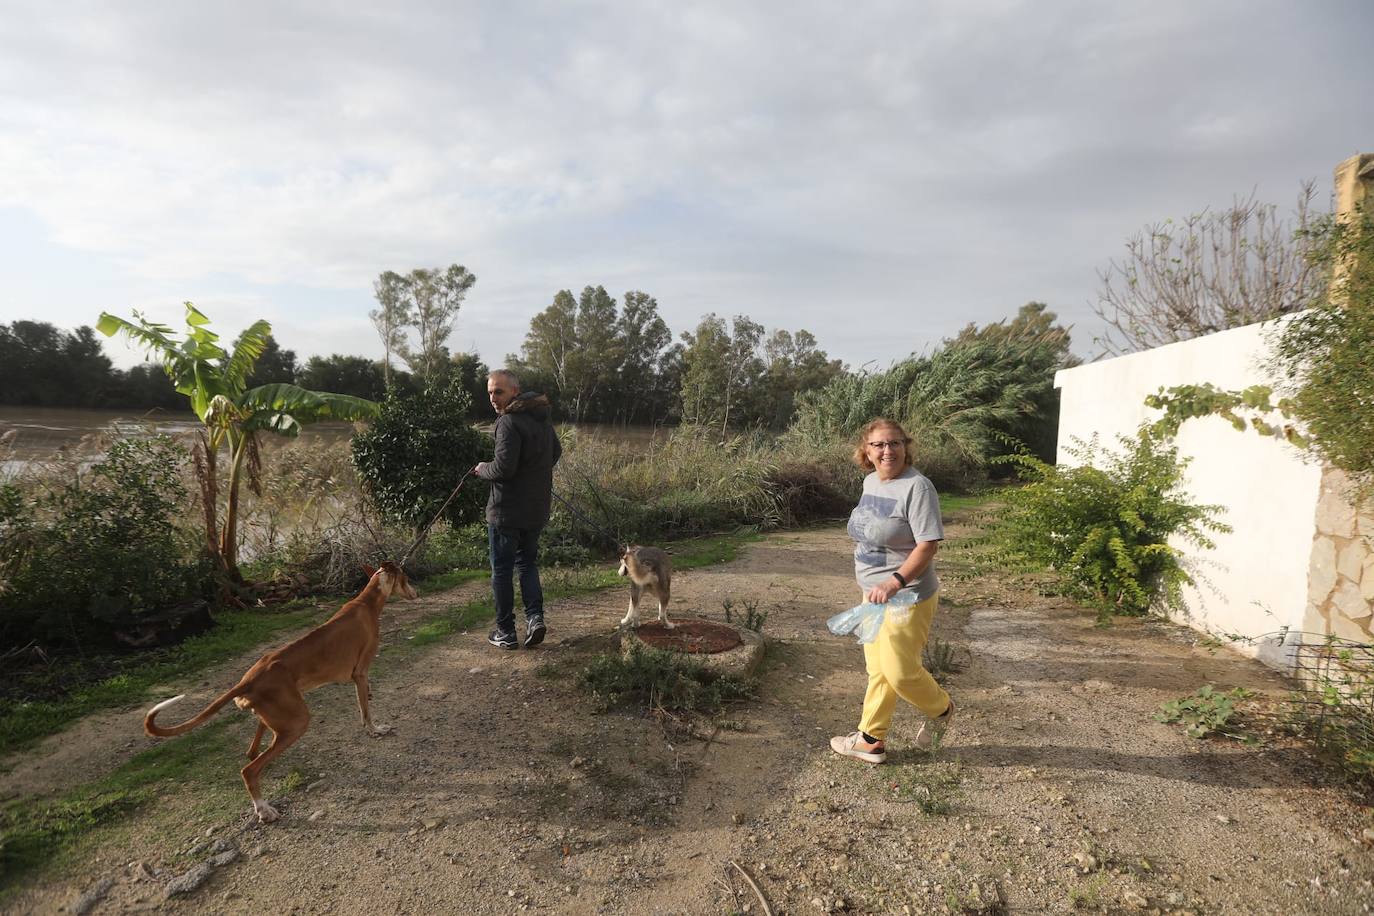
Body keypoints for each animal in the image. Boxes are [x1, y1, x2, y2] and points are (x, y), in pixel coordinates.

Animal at [143, 560, 417, 823]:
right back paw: (264, 810)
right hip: (297, 721)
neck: (368, 600)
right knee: (249, 770)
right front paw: (375, 730)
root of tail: (248, 680)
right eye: (406, 577)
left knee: (253, 753)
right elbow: (366, 710)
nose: (416, 593)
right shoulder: (360, 674)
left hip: (274, 715)